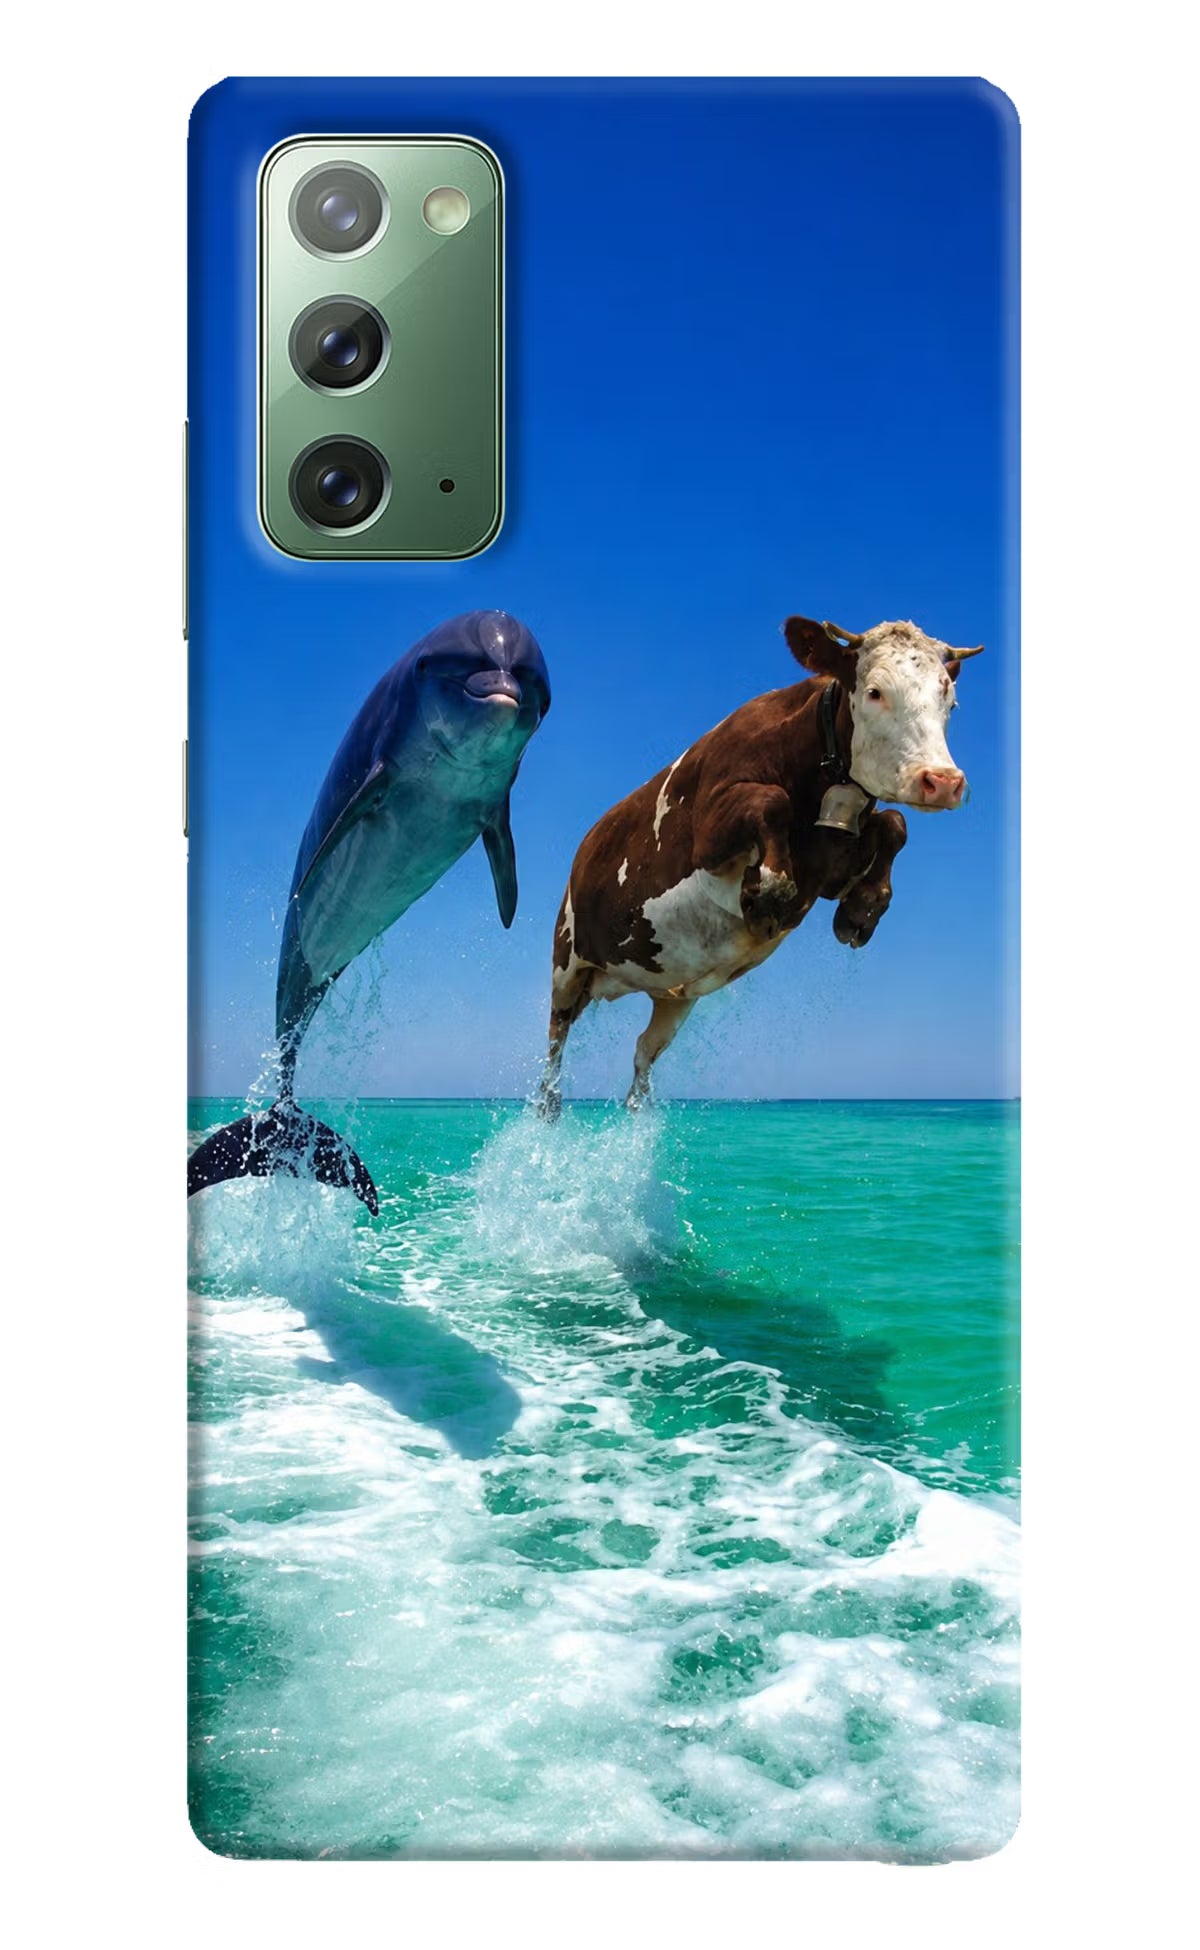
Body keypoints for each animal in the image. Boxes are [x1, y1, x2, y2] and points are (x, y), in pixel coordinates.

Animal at [536, 614, 983, 1117]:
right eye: (874, 691)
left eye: (950, 699)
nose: (942, 781)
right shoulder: (709, 834)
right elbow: (772, 802)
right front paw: (767, 893)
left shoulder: (830, 867)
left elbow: (894, 823)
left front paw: (862, 909)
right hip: (566, 962)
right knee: (554, 1043)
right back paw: (549, 1106)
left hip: (673, 995)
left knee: (643, 1053)